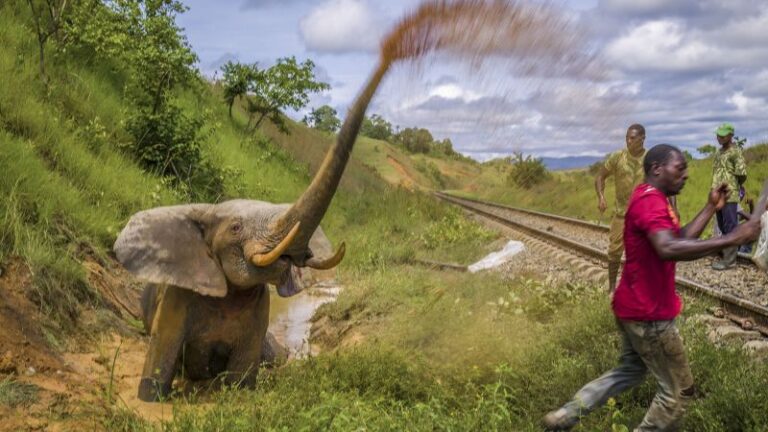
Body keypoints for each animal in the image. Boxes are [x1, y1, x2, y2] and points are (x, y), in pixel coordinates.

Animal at [116, 56, 392, 402]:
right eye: (235, 227)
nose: (390, 54)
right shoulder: (177, 297)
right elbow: (160, 360)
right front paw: (151, 400)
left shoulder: (260, 308)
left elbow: (243, 378)